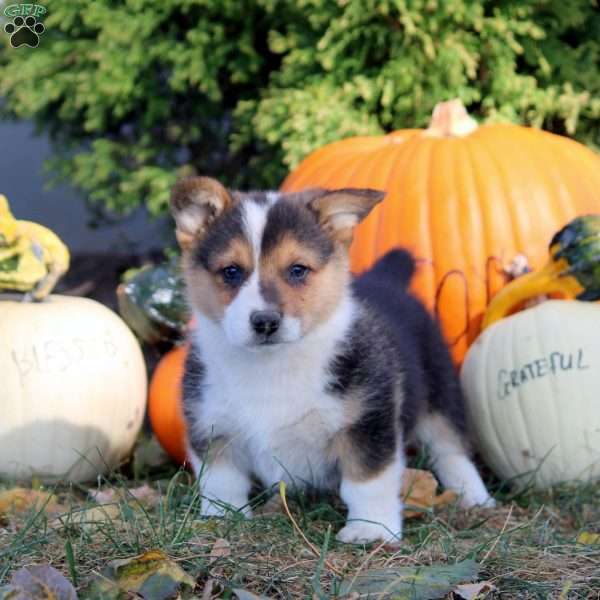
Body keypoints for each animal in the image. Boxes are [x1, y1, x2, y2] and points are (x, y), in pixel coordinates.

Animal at [171, 177, 494, 544]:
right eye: (231, 272)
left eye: (298, 270)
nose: (265, 322)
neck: (271, 365)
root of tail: (388, 279)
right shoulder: (210, 424)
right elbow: (222, 481)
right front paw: (223, 519)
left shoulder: (367, 421)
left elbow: (368, 481)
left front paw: (370, 529)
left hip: (440, 388)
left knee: (450, 447)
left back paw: (473, 495)